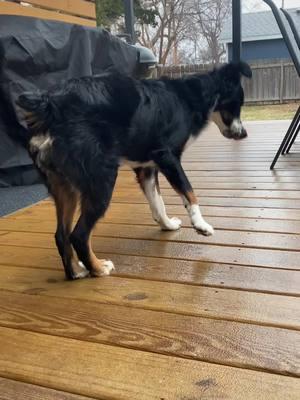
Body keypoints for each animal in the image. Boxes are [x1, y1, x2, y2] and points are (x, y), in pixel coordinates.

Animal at [16, 61, 251, 280]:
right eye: (237, 104)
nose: (244, 134)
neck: (190, 96)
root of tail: (50, 105)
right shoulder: (167, 156)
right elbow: (189, 192)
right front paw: (200, 225)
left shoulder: (146, 168)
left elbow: (158, 204)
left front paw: (167, 225)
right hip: (102, 180)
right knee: (79, 235)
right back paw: (98, 268)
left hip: (65, 186)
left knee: (61, 235)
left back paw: (76, 272)